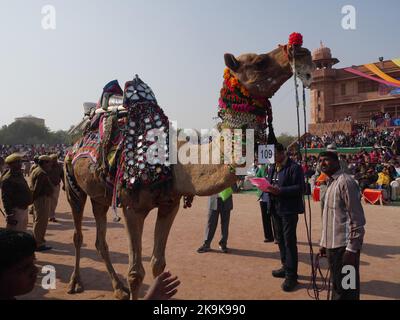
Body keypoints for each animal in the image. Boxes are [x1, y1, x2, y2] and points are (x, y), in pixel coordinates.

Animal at [64, 33, 314, 298]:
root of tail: (75, 142)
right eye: (259, 62)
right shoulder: (132, 208)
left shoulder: (169, 204)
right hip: (73, 186)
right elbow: (135, 272)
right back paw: (75, 283)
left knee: (100, 240)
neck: (173, 164)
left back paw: (118, 288)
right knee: (79, 235)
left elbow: (158, 263)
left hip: (100, 196)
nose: (301, 51)